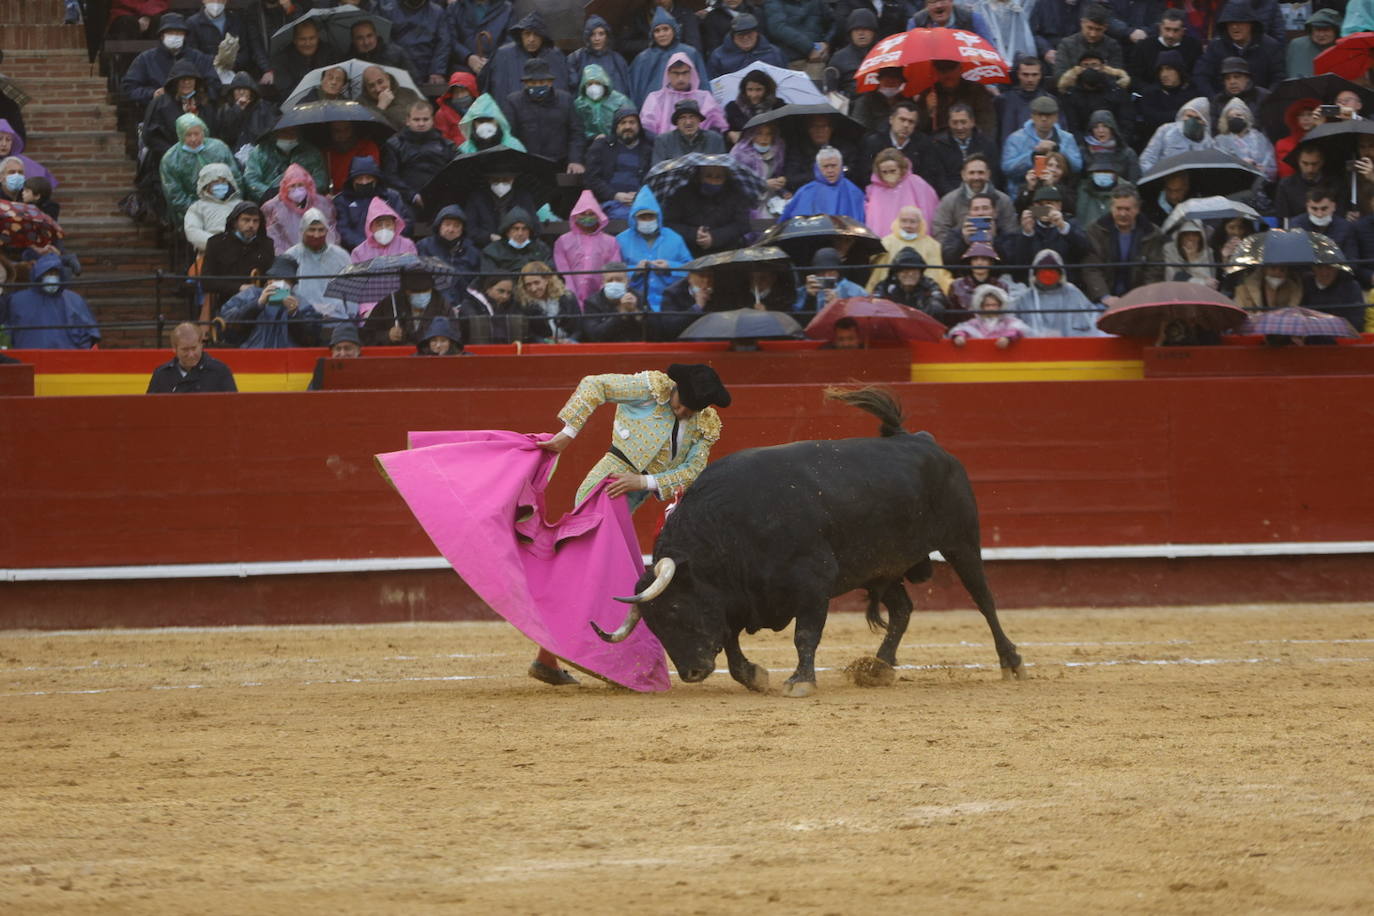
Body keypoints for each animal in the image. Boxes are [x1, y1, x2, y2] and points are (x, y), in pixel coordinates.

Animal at [596, 387, 1027, 694]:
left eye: (674, 610)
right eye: (653, 625)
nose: (691, 672)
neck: (729, 527)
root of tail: (921, 439)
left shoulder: (814, 583)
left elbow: (805, 634)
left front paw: (800, 681)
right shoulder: (735, 598)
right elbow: (731, 642)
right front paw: (755, 676)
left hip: (962, 542)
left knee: (984, 600)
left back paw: (1012, 663)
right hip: (882, 566)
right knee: (903, 609)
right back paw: (878, 667)